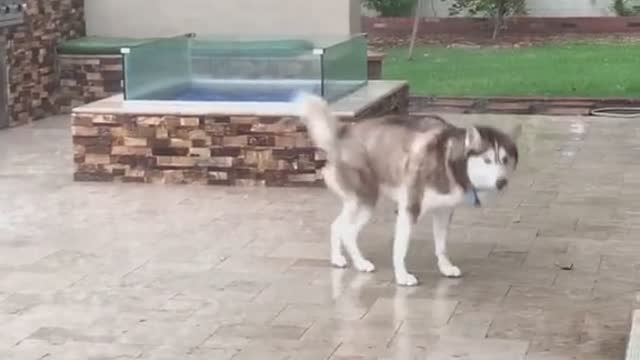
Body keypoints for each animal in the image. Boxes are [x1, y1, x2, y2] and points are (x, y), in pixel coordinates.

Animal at [298, 93, 524, 286]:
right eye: (487, 160)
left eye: (505, 160)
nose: (502, 182)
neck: (449, 162)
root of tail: (341, 134)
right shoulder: (409, 208)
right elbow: (400, 248)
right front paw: (402, 276)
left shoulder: (443, 211)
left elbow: (441, 246)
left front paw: (445, 267)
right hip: (365, 200)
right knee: (346, 231)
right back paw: (360, 263)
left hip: (359, 203)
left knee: (337, 227)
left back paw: (339, 259)